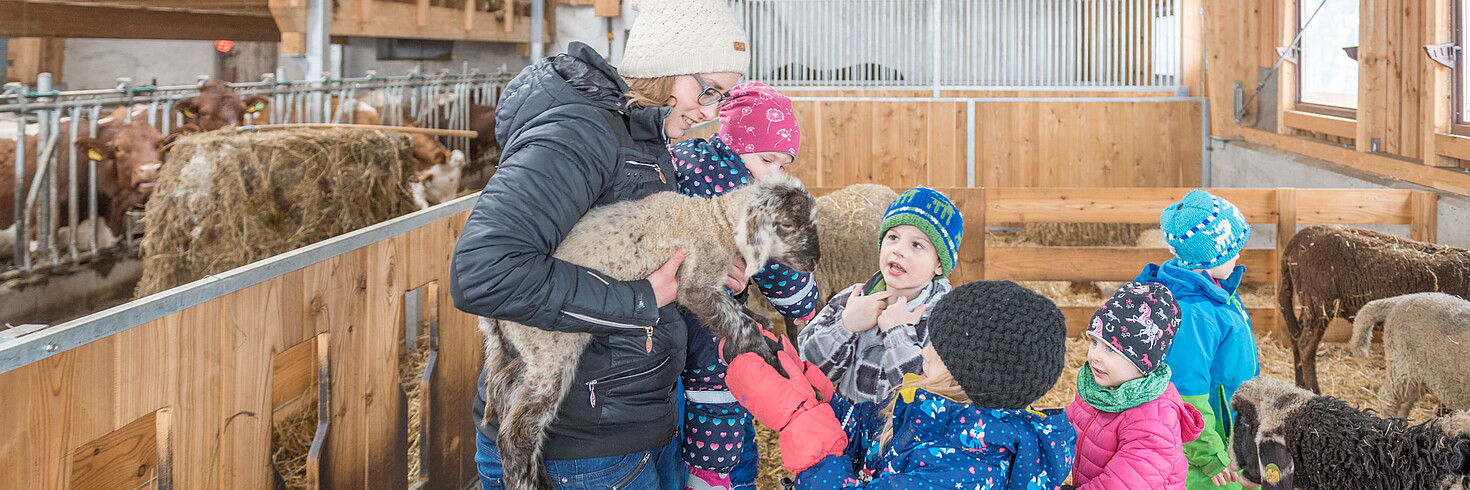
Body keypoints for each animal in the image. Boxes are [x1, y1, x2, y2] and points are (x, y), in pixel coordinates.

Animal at [482, 172, 829, 488]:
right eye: (788, 225)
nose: (814, 261)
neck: (713, 222)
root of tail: (491, 317)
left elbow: (740, 313)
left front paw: (761, 322)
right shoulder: (694, 284)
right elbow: (741, 327)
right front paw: (779, 368)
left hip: (538, 348)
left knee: (502, 384)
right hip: (552, 348)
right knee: (517, 432)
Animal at [1275, 225, 1470, 394]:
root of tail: (1300, 237)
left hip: (1309, 303)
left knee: (1296, 336)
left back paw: (1300, 385)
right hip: (1319, 301)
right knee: (1306, 346)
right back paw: (1314, 390)